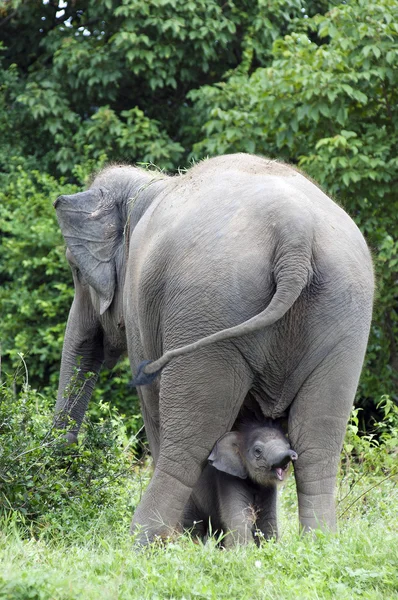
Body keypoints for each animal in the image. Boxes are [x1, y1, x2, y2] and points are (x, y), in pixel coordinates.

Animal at [54, 154, 374, 544]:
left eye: (74, 269)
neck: (146, 184)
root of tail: (294, 235)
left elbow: (153, 405)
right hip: (344, 314)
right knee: (317, 440)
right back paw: (320, 544)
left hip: (210, 308)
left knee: (187, 438)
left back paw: (146, 542)